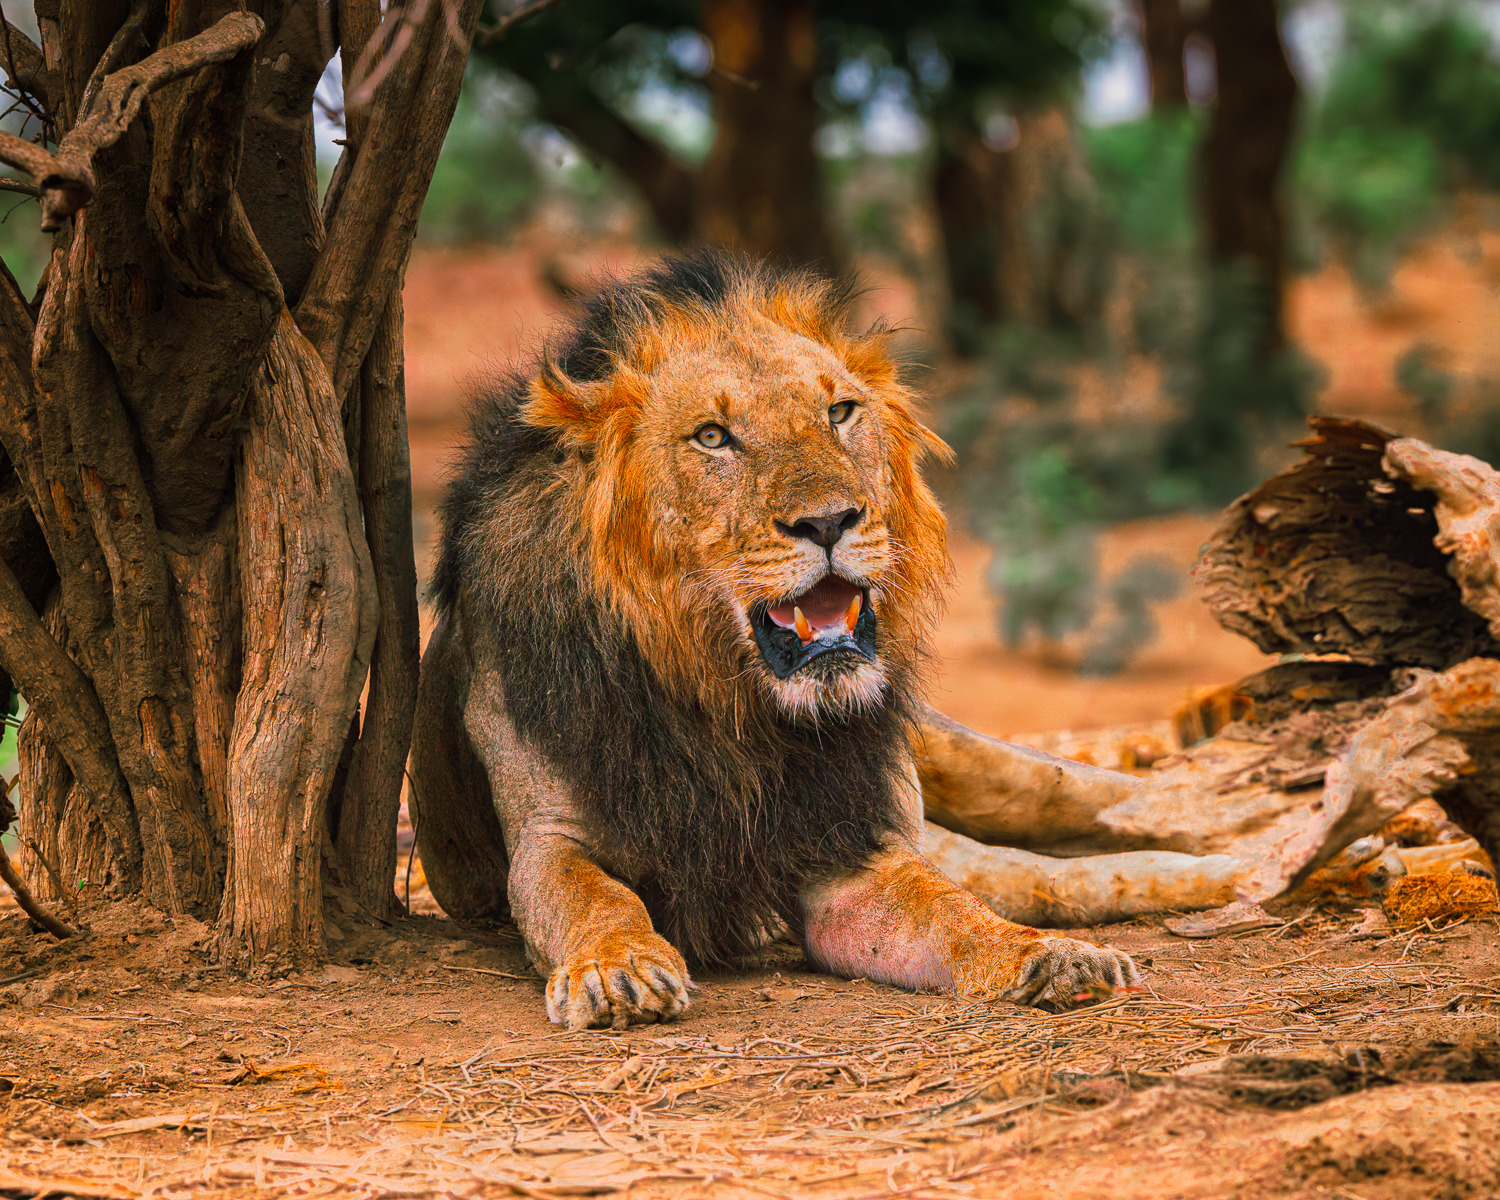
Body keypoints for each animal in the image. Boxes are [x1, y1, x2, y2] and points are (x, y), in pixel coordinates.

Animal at [410, 250, 1139, 1030]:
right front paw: (618, 969)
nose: (830, 521)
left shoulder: (852, 845)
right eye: (712, 436)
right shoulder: (548, 839)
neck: (733, 707)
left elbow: (955, 910)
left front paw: (1048, 955)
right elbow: (594, 897)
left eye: (840, 413)